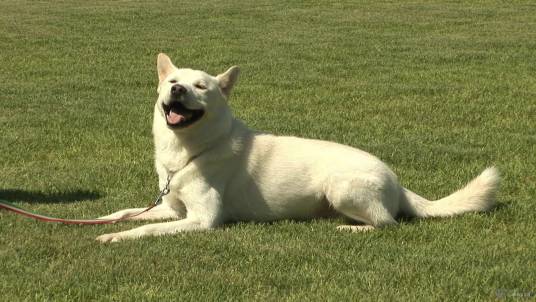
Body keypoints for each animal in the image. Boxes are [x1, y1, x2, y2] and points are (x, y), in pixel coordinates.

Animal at [95, 53, 498, 243]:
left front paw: (116, 237)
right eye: (174, 82)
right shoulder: (171, 209)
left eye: (201, 87)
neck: (189, 150)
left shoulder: (201, 220)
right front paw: (102, 221)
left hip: (341, 186)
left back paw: (351, 229)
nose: (177, 90)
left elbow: (145, 230)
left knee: (388, 223)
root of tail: (397, 181)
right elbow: (126, 212)